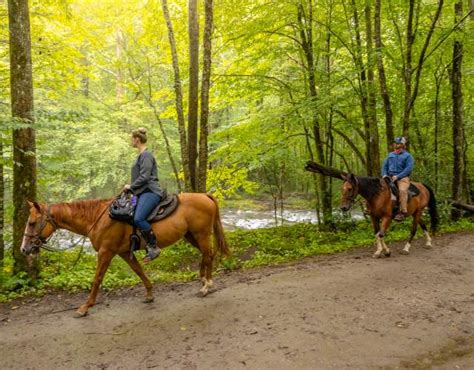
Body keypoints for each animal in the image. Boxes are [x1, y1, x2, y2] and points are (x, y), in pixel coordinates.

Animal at [21, 192, 229, 316]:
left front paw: (85, 306)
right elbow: (138, 271)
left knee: (209, 255)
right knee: (207, 255)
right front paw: (149, 294)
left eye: (32, 223)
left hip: (201, 234)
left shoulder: (106, 252)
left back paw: (207, 285)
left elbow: (97, 278)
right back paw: (203, 280)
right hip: (191, 235)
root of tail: (206, 196)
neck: (98, 218)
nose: (24, 249)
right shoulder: (123, 252)